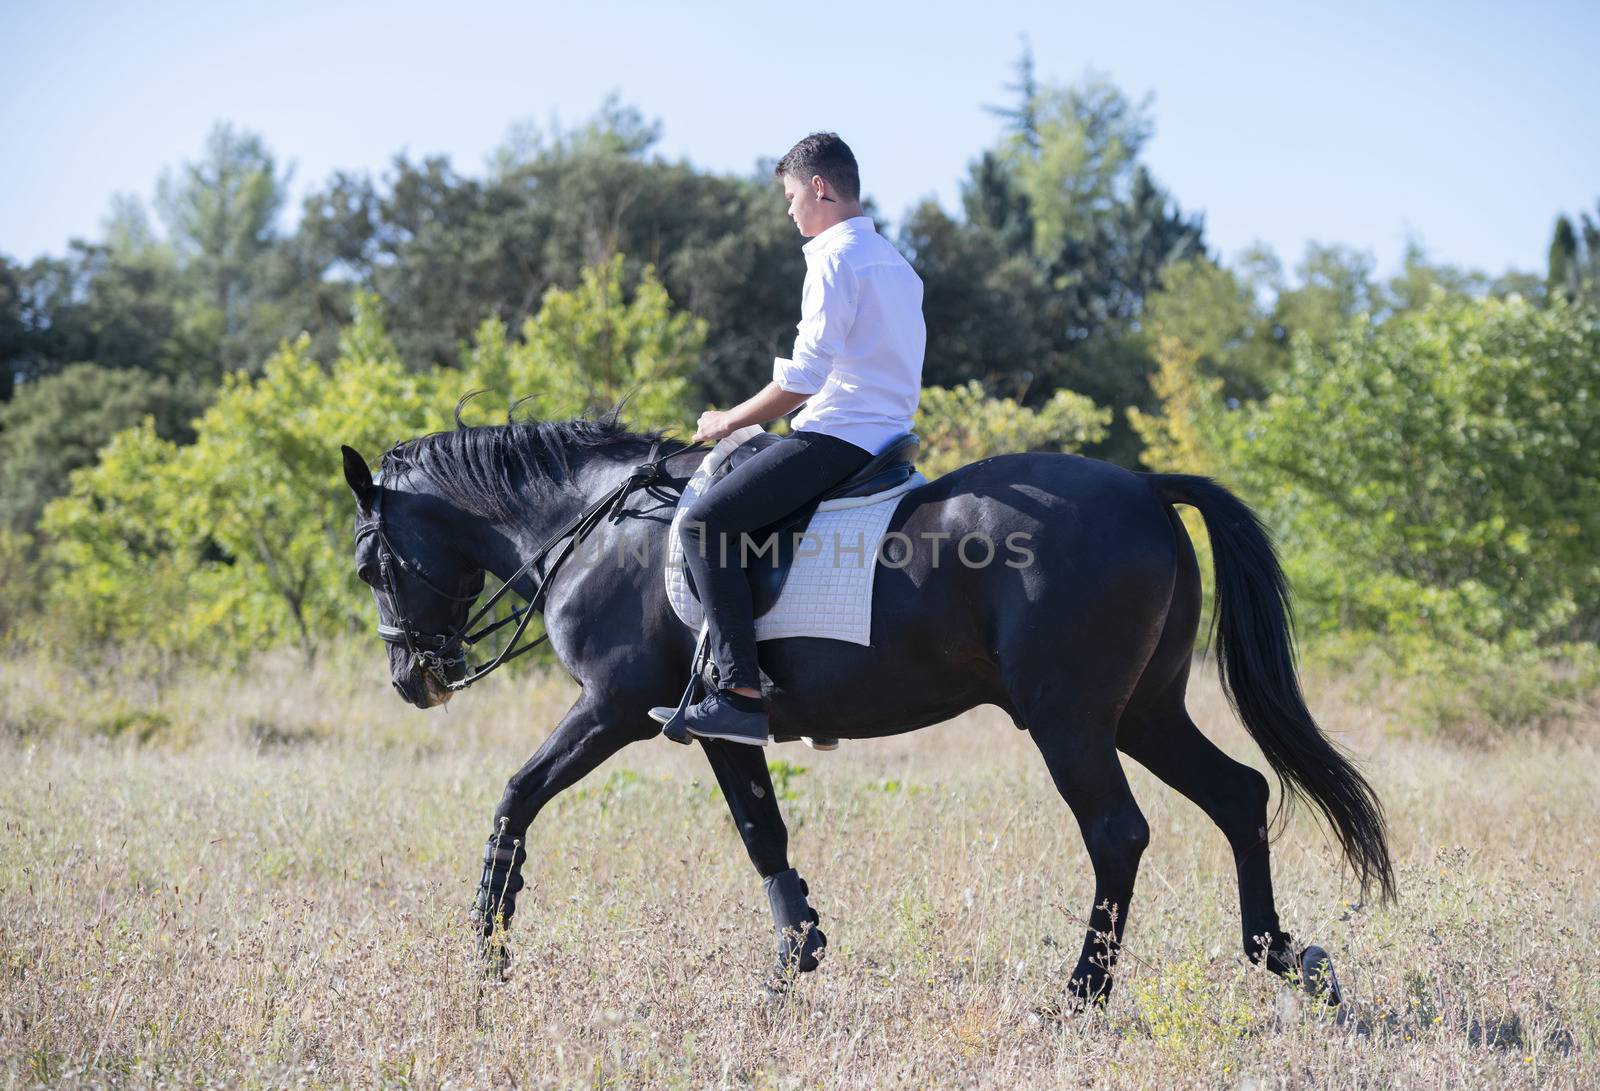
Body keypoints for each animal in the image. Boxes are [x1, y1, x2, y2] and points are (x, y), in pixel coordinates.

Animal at [340, 409, 1388, 1004]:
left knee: (1118, 832)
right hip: (1144, 711)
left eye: (369, 563)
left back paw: (1081, 994)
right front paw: (794, 961)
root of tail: (1142, 486)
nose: (414, 679)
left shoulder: (613, 707)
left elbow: (515, 797)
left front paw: (489, 947)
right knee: (1240, 795)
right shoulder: (720, 724)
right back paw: (1285, 957)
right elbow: (762, 831)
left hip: (1071, 720)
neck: (597, 526)